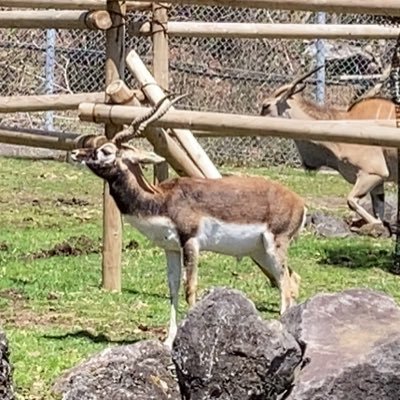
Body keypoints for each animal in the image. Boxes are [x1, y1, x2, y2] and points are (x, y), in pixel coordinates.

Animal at [70, 96, 306, 346]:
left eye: (106, 151)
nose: (75, 153)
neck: (161, 200)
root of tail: (299, 202)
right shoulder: (171, 248)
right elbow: (173, 287)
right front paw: (169, 339)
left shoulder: (190, 241)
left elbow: (189, 288)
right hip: (259, 251)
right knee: (292, 278)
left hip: (274, 245)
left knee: (285, 282)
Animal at [260, 67, 396, 227]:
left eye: (266, 106)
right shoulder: (378, 182)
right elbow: (378, 211)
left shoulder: (372, 173)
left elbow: (351, 201)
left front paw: (373, 223)